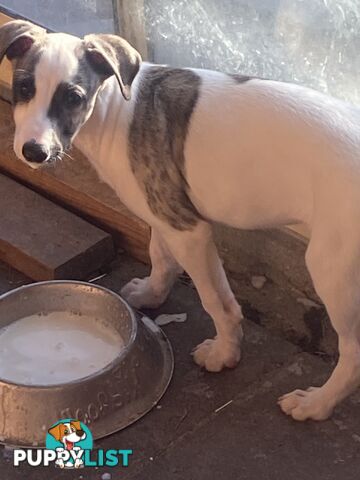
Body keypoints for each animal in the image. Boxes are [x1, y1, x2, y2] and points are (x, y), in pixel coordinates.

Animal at [0, 21, 360, 420]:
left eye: (74, 97)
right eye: (24, 88)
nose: (34, 152)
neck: (117, 110)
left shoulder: (189, 231)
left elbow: (216, 301)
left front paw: (224, 354)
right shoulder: (162, 212)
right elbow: (160, 257)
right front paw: (150, 293)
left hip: (332, 269)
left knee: (353, 354)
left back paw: (316, 403)